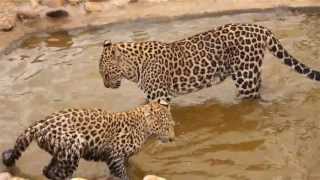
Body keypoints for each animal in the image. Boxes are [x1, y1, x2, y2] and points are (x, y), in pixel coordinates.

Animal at [1, 100, 174, 179]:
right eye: (165, 127)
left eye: (172, 125)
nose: (172, 139)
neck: (143, 129)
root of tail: (39, 124)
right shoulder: (115, 157)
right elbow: (122, 174)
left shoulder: (123, 158)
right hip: (74, 146)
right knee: (58, 173)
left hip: (62, 152)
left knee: (47, 170)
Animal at [99, 23, 318, 101]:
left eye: (105, 73)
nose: (106, 86)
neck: (133, 68)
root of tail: (260, 28)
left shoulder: (159, 95)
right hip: (252, 72)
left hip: (244, 77)